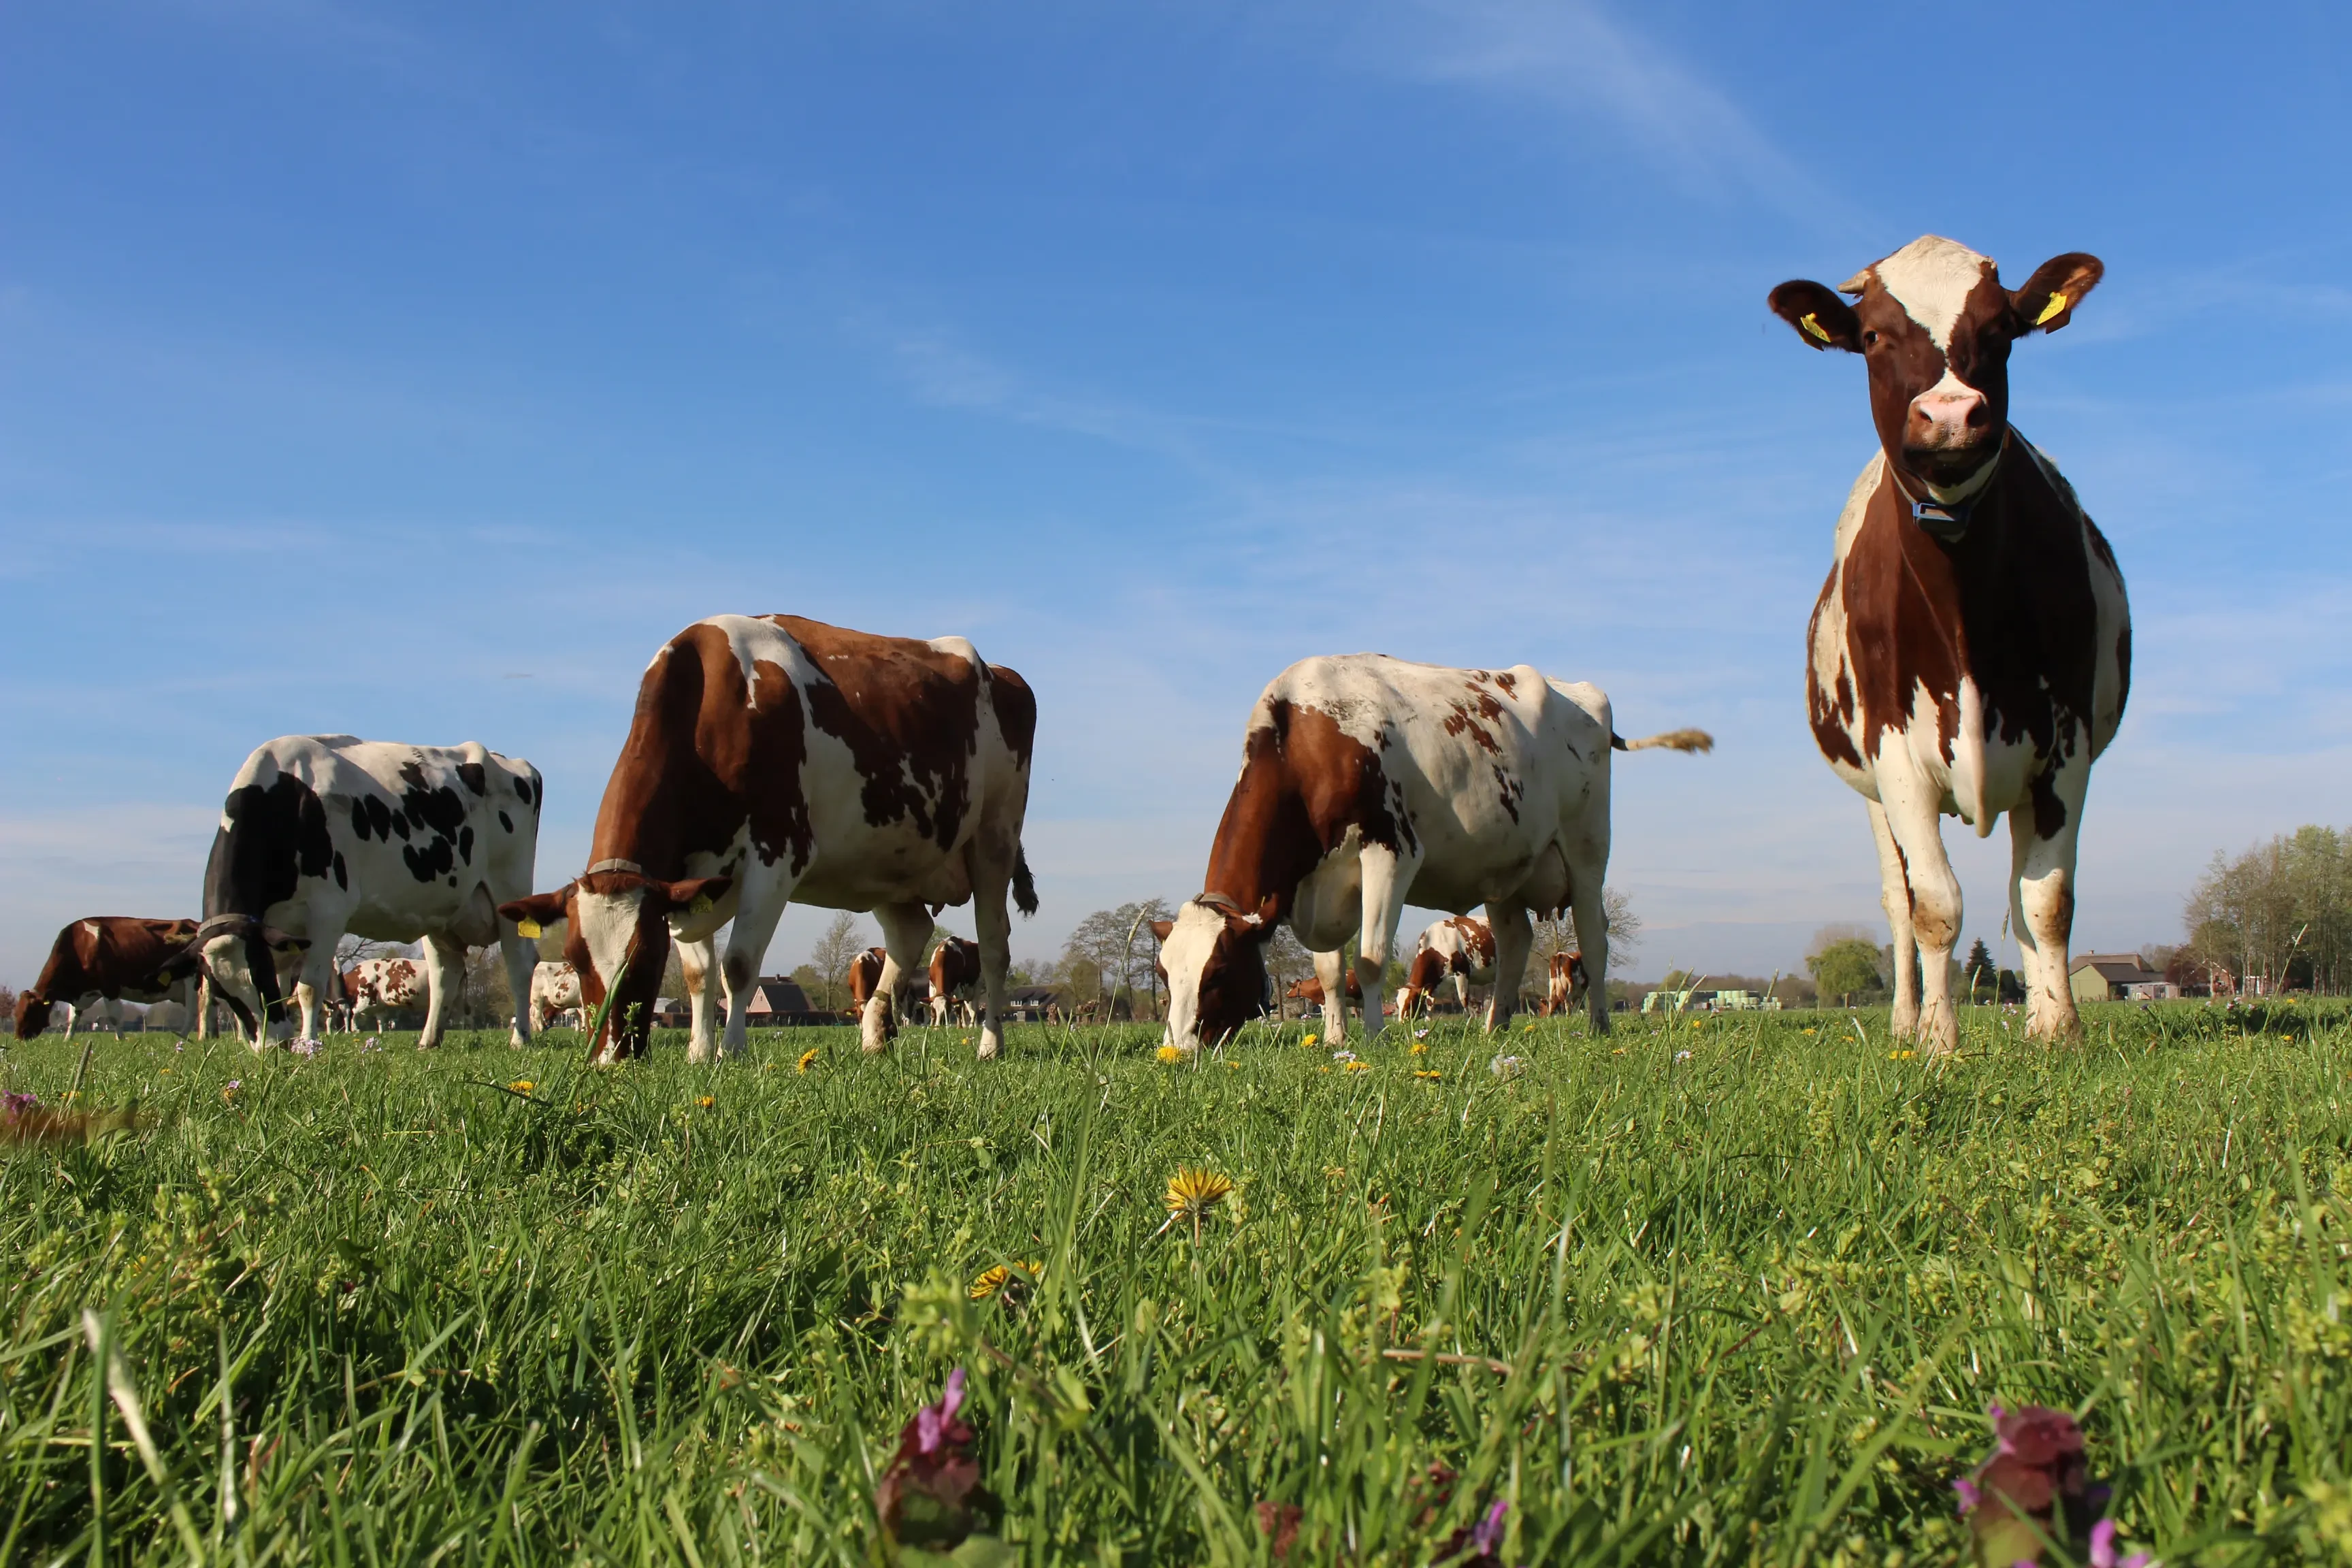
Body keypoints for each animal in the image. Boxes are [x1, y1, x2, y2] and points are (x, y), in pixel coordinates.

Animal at [15, 917, 205, 1041]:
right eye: (16, 1012)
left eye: (30, 1011)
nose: (19, 1037)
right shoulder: (83, 994)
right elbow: (73, 1018)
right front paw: (68, 1040)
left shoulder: (110, 986)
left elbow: (114, 1017)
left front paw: (121, 1039)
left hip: (192, 981)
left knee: (193, 1012)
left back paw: (182, 1038)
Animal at [194, 736, 544, 1051]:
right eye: (222, 993)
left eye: (258, 974)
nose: (271, 1046)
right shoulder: (276, 929)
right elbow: (285, 989)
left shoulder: (328, 911)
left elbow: (308, 988)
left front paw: (308, 1045)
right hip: (442, 909)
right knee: (445, 973)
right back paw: (428, 1041)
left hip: (509, 892)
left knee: (519, 965)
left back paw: (520, 1039)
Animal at [928, 936, 983, 1026]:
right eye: (935, 1010)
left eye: (947, 1010)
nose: (938, 1026)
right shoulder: (932, 987)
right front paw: (931, 1026)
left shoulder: (959, 988)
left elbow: (958, 1009)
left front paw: (959, 1027)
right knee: (970, 1010)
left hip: (977, 988)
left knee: (975, 1010)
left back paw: (971, 1026)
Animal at [1393, 915, 1497, 1018]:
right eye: (1397, 1005)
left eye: (1410, 1003)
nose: (1402, 1021)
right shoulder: (1433, 984)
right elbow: (1430, 1005)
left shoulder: (1462, 972)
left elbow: (1463, 1000)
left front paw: (1468, 1020)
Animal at [1768, 236, 2130, 1052]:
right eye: (1873, 336)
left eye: (2001, 331)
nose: (1951, 413)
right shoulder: (1895, 754)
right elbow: (1934, 905)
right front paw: (1937, 1041)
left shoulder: (2066, 744)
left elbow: (2047, 900)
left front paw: (2059, 1032)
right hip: (1873, 792)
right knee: (1899, 900)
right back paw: (1906, 1021)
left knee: (2019, 893)